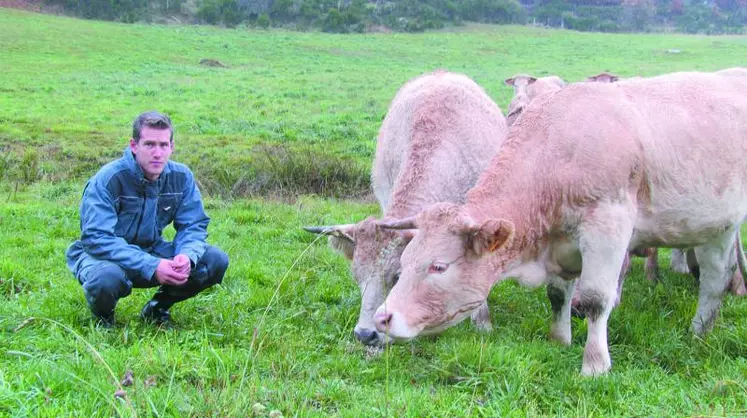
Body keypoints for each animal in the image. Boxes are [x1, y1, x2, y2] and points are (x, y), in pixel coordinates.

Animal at [376, 69, 747, 376]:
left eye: (438, 266)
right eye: (404, 264)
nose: (382, 318)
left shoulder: (607, 228)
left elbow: (596, 299)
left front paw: (594, 365)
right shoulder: (562, 243)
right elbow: (557, 294)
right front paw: (559, 339)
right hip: (718, 226)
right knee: (716, 276)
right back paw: (699, 332)